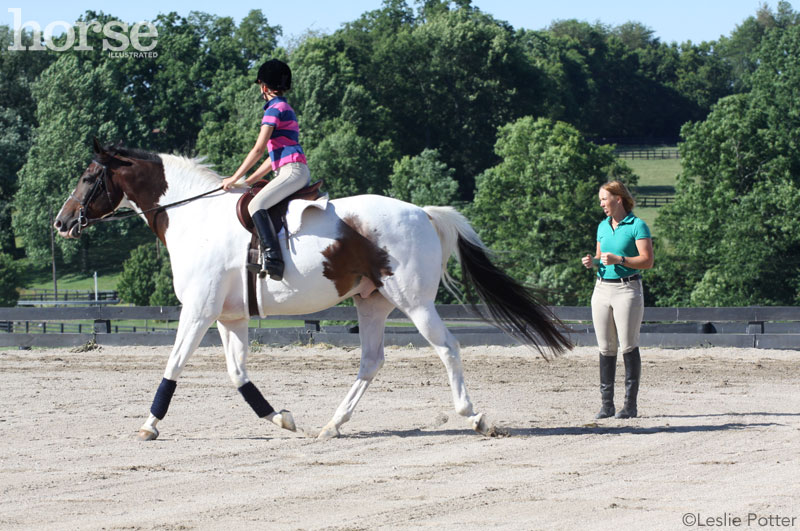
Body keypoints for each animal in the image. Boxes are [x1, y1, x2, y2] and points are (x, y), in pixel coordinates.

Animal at [53, 140, 572, 440]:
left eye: (88, 177)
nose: (61, 223)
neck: (192, 216)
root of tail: (422, 212)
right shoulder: (228, 317)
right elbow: (238, 374)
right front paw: (279, 418)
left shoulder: (197, 312)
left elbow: (174, 365)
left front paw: (149, 424)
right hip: (372, 303)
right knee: (371, 361)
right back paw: (333, 425)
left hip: (414, 302)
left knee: (447, 348)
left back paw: (474, 416)